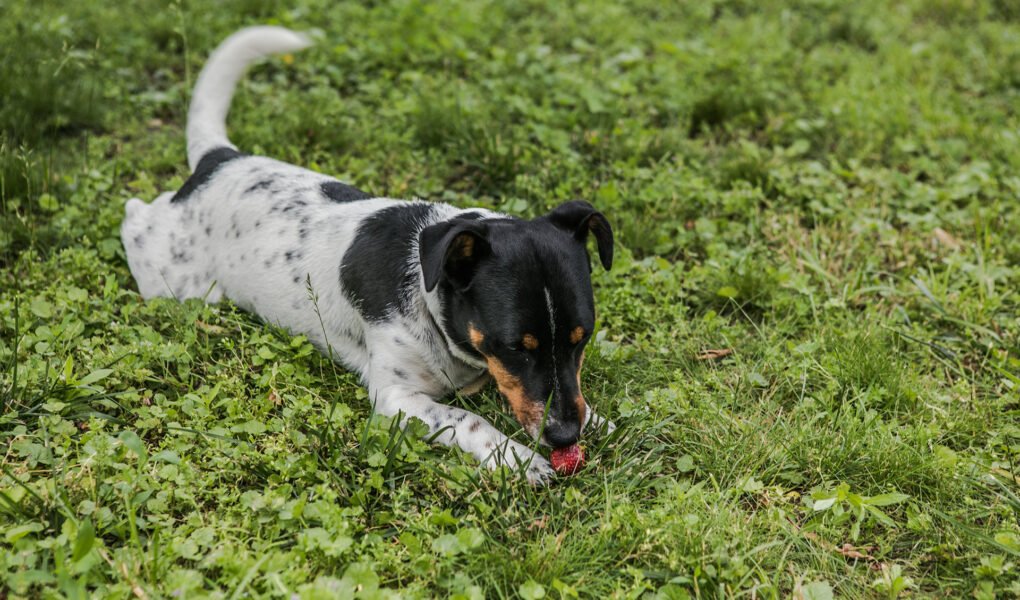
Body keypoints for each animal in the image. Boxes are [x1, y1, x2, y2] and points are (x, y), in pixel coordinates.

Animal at [119, 29, 612, 487]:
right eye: (514, 348)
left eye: (582, 338)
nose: (565, 436)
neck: (430, 298)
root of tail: (219, 161)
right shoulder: (396, 397)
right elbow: (469, 419)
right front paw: (518, 458)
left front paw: (597, 421)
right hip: (176, 278)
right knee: (133, 214)